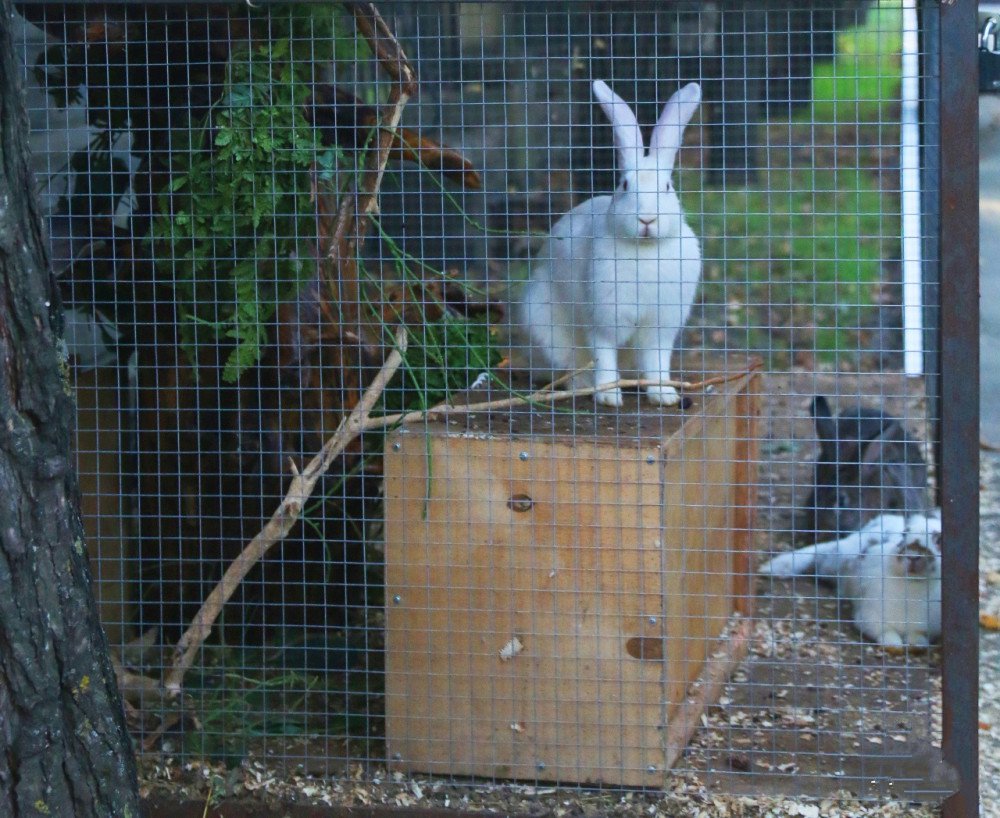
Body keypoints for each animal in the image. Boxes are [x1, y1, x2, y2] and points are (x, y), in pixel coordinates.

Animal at [514, 80, 703, 408]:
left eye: (667, 187)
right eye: (625, 185)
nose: (647, 219)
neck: (645, 250)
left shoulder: (660, 328)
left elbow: (657, 361)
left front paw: (664, 395)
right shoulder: (602, 320)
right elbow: (603, 354)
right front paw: (609, 396)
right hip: (543, 326)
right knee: (569, 368)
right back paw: (584, 386)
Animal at [760, 511, 942, 648]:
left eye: (938, 540)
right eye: (904, 535)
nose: (913, 556)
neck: (913, 584)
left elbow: (917, 636)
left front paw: (917, 645)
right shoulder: (870, 617)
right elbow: (886, 633)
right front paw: (893, 645)